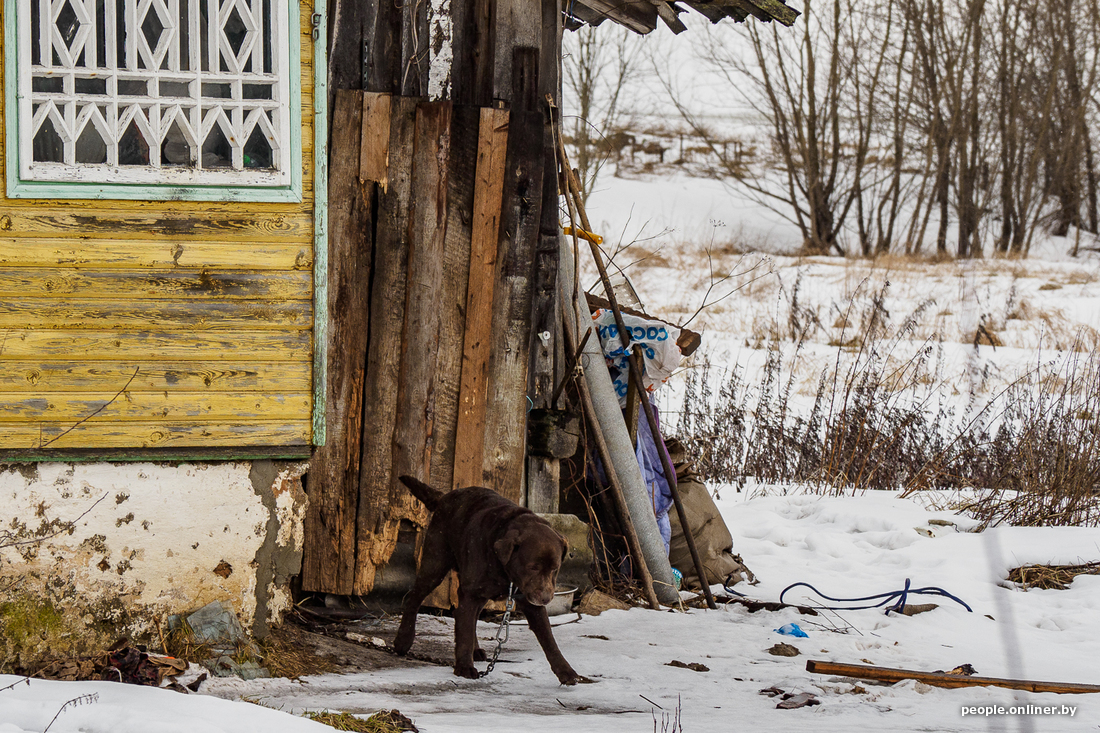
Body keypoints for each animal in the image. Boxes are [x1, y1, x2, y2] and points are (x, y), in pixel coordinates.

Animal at [396, 477, 585, 682]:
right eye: (532, 567)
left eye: (555, 569)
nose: (545, 599)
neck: (506, 573)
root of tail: (444, 497)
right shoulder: (472, 592)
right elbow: (464, 631)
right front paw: (464, 667)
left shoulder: (528, 602)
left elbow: (549, 640)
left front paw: (566, 672)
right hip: (436, 563)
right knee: (416, 598)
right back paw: (403, 639)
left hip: (477, 591)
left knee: (465, 615)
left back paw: (476, 650)